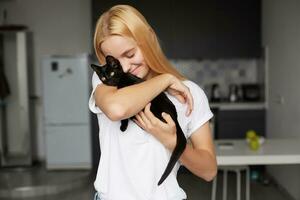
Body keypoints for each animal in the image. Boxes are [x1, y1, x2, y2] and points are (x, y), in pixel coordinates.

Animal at [90, 55, 186, 186]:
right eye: (103, 77)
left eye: (112, 73)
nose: (108, 81)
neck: (121, 82)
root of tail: (175, 118)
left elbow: (125, 117)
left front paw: (123, 127)